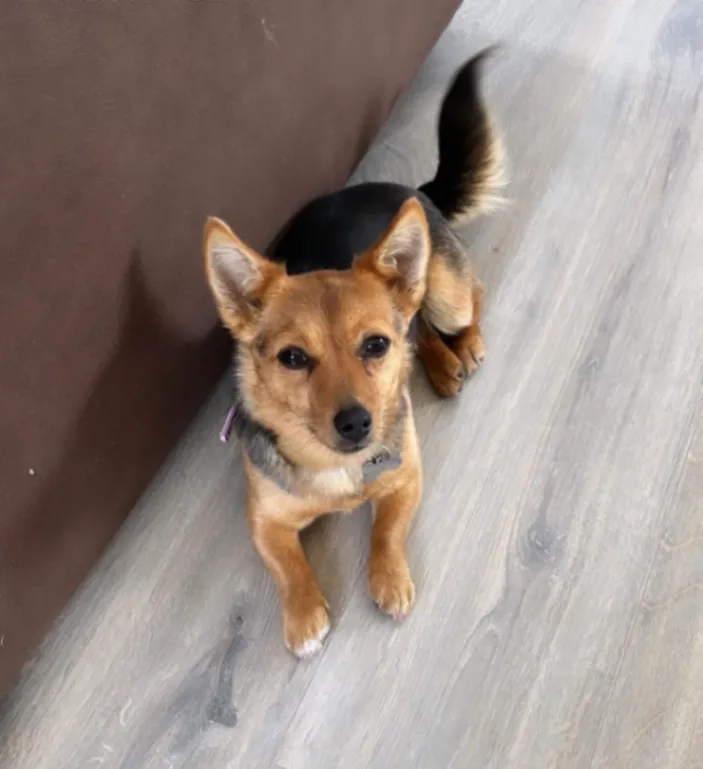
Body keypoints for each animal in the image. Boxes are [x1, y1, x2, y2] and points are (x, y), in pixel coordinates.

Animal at [203, 49, 504, 657]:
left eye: (374, 346)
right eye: (293, 358)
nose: (357, 424)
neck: (333, 468)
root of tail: (412, 190)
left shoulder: (406, 476)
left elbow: (386, 530)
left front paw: (388, 579)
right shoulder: (264, 519)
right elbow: (289, 566)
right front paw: (303, 617)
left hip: (447, 295)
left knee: (464, 303)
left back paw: (465, 348)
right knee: (421, 333)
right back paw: (441, 366)